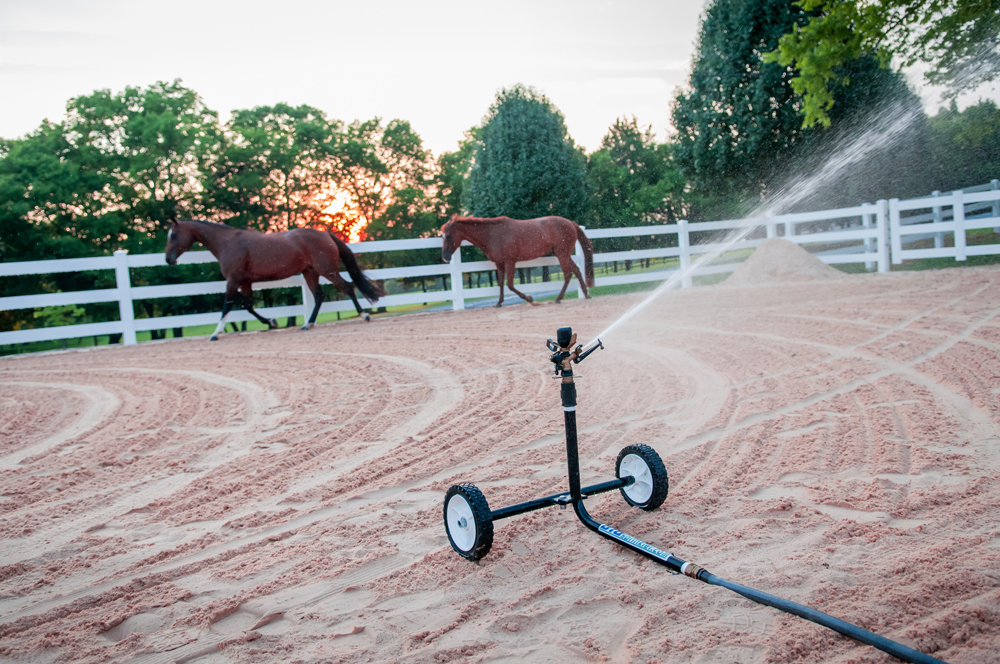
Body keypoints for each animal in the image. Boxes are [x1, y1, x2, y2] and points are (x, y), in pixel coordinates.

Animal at [164, 219, 385, 341]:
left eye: (173, 235)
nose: (168, 259)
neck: (228, 243)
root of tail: (325, 234)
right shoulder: (245, 282)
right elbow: (248, 306)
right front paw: (271, 321)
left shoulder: (233, 280)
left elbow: (227, 305)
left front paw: (215, 334)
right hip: (310, 272)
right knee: (319, 296)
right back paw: (308, 324)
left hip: (327, 271)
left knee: (347, 287)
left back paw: (364, 315)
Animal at [440, 215, 595, 306]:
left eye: (448, 236)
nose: (445, 257)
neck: (492, 234)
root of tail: (571, 223)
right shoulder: (499, 263)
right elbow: (501, 284)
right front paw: (499, 303)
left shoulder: (510, 262)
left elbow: (510, 285)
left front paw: (529, 298)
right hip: (562, 254)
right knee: (576, 271)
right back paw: (586, 294)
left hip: (562, 254)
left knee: (568, 274)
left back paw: (558, 298)